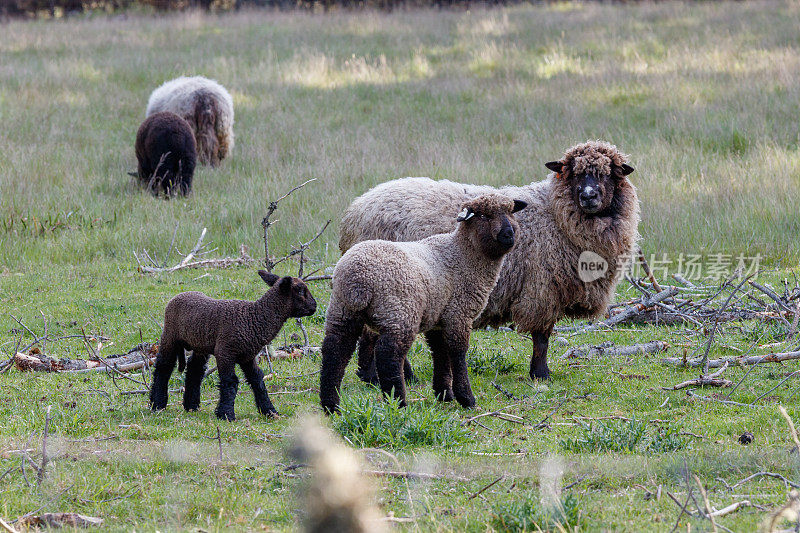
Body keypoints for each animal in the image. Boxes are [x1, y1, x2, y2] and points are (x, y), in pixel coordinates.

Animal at [150, 270, 316, 420]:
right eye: (300, 290)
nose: (314, 306)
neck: (254, 318)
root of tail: (178, 295)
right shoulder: (225, 352)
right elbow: (230, 381)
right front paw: (226, 414)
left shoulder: (247, 356)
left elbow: (257, 379)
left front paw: (270, 411)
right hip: (170, 336)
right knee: (163, 367)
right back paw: (157, 404)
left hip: (200, 344)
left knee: (194, 370)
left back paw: (191, 406)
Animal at [318, 193, 524, 414]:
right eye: (484, 216)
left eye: (511, 212)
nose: (509, 234)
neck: (463, 254)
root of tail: (358, 278)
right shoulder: (459, 314)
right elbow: (458, 353)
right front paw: (466, 398)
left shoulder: (438, 319)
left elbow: (440, 353)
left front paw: (444, 394)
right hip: (399, 311)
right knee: (388, 355)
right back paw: (398, 402)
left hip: (342, 309)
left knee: (334, 350)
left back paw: (331, 405)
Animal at [340, 140, 640, 382]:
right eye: (574, 173)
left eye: (608, 173)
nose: (588, 196)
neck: (555, 214)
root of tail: (354, 211)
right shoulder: (542, 290)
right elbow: (542, 337)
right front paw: (540, 374)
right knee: (375, 333)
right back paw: (384, 376)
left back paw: (377, 376)